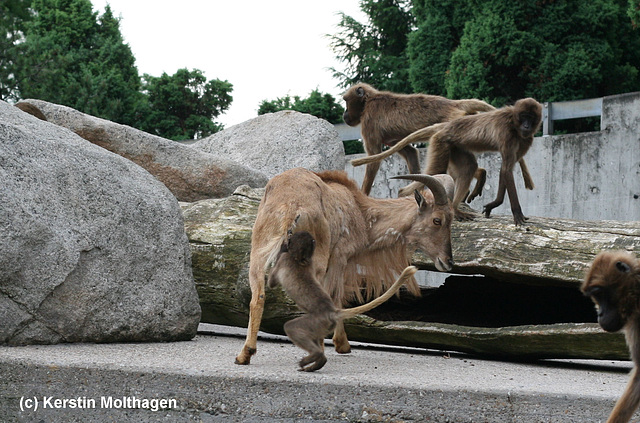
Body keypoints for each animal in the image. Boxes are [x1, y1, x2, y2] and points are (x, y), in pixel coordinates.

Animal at [268, 230, 418, 372]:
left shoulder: (284, 260)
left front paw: (283, 245)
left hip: (317, 321)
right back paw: (319, 361)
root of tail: (332, 311)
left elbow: (271, 283)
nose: (289, 236)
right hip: (322, 326)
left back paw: (316, 355)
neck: (300, 259)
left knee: (291, 327)